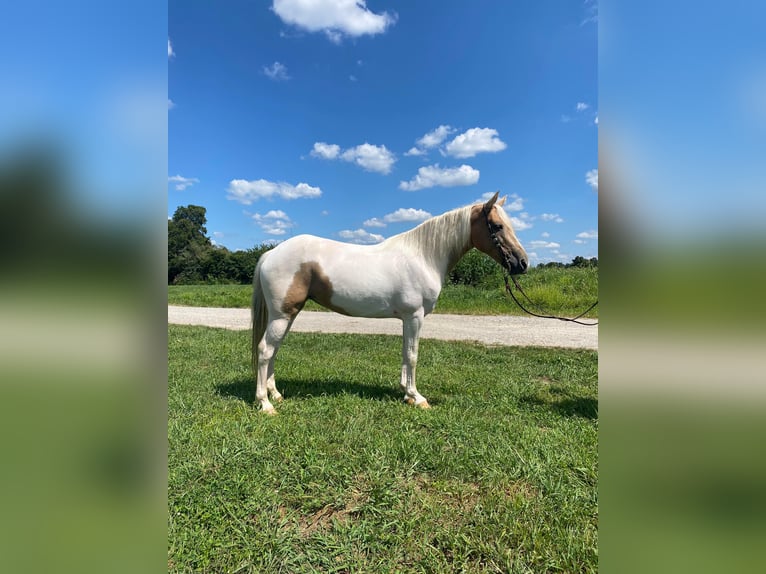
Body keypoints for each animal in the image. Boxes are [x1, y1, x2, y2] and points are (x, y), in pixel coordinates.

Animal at [252, 192, 528, 414]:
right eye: (497, 226)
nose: (522, 263)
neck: (424, 256)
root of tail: (271, 253)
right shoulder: (415, 316)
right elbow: (413, 355)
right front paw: (418, 398)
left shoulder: (408, 318)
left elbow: (406, 353)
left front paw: (407, 394)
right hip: (282, 315)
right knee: (265, 350)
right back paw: (265, 403)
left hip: (287, 315)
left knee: (274, 349)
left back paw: (276, 394)